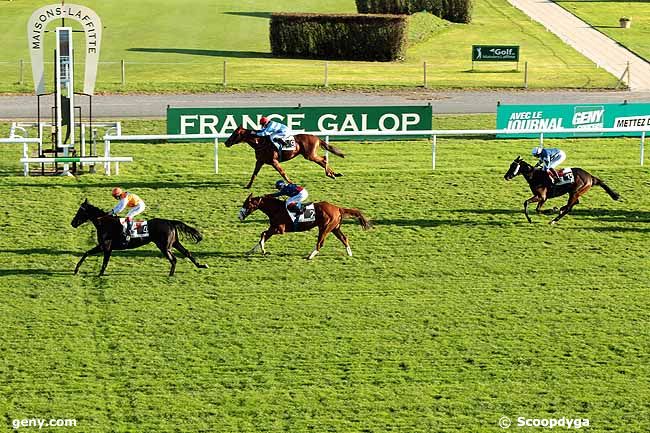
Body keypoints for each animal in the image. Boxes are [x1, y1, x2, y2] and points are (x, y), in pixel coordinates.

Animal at [70, 198, 208, 276]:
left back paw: (171, 274)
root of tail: (170, 222)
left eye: (80, 212)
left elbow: (104, 263)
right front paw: (76, 270)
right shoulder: (103, 247)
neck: (105, 223)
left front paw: (99, 275)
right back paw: (201, 265)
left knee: (173, 259)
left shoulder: (106, 247)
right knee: (187, 253)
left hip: (164, 246)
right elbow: (86, 253)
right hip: (174, 243)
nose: (72, 223)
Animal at [237, 193, 370, 260]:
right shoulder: (273, 227)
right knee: (344, 238)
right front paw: (251, 251)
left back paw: (310, 256)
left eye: (246, 204)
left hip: (325, 227)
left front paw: (263, 250)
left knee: (320, 242)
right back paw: (349, 253)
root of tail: (337, 208)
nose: (239, 216)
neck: (276, 209)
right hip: (334, 228)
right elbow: (263, 236)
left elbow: (263, 234)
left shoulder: (279, 229)